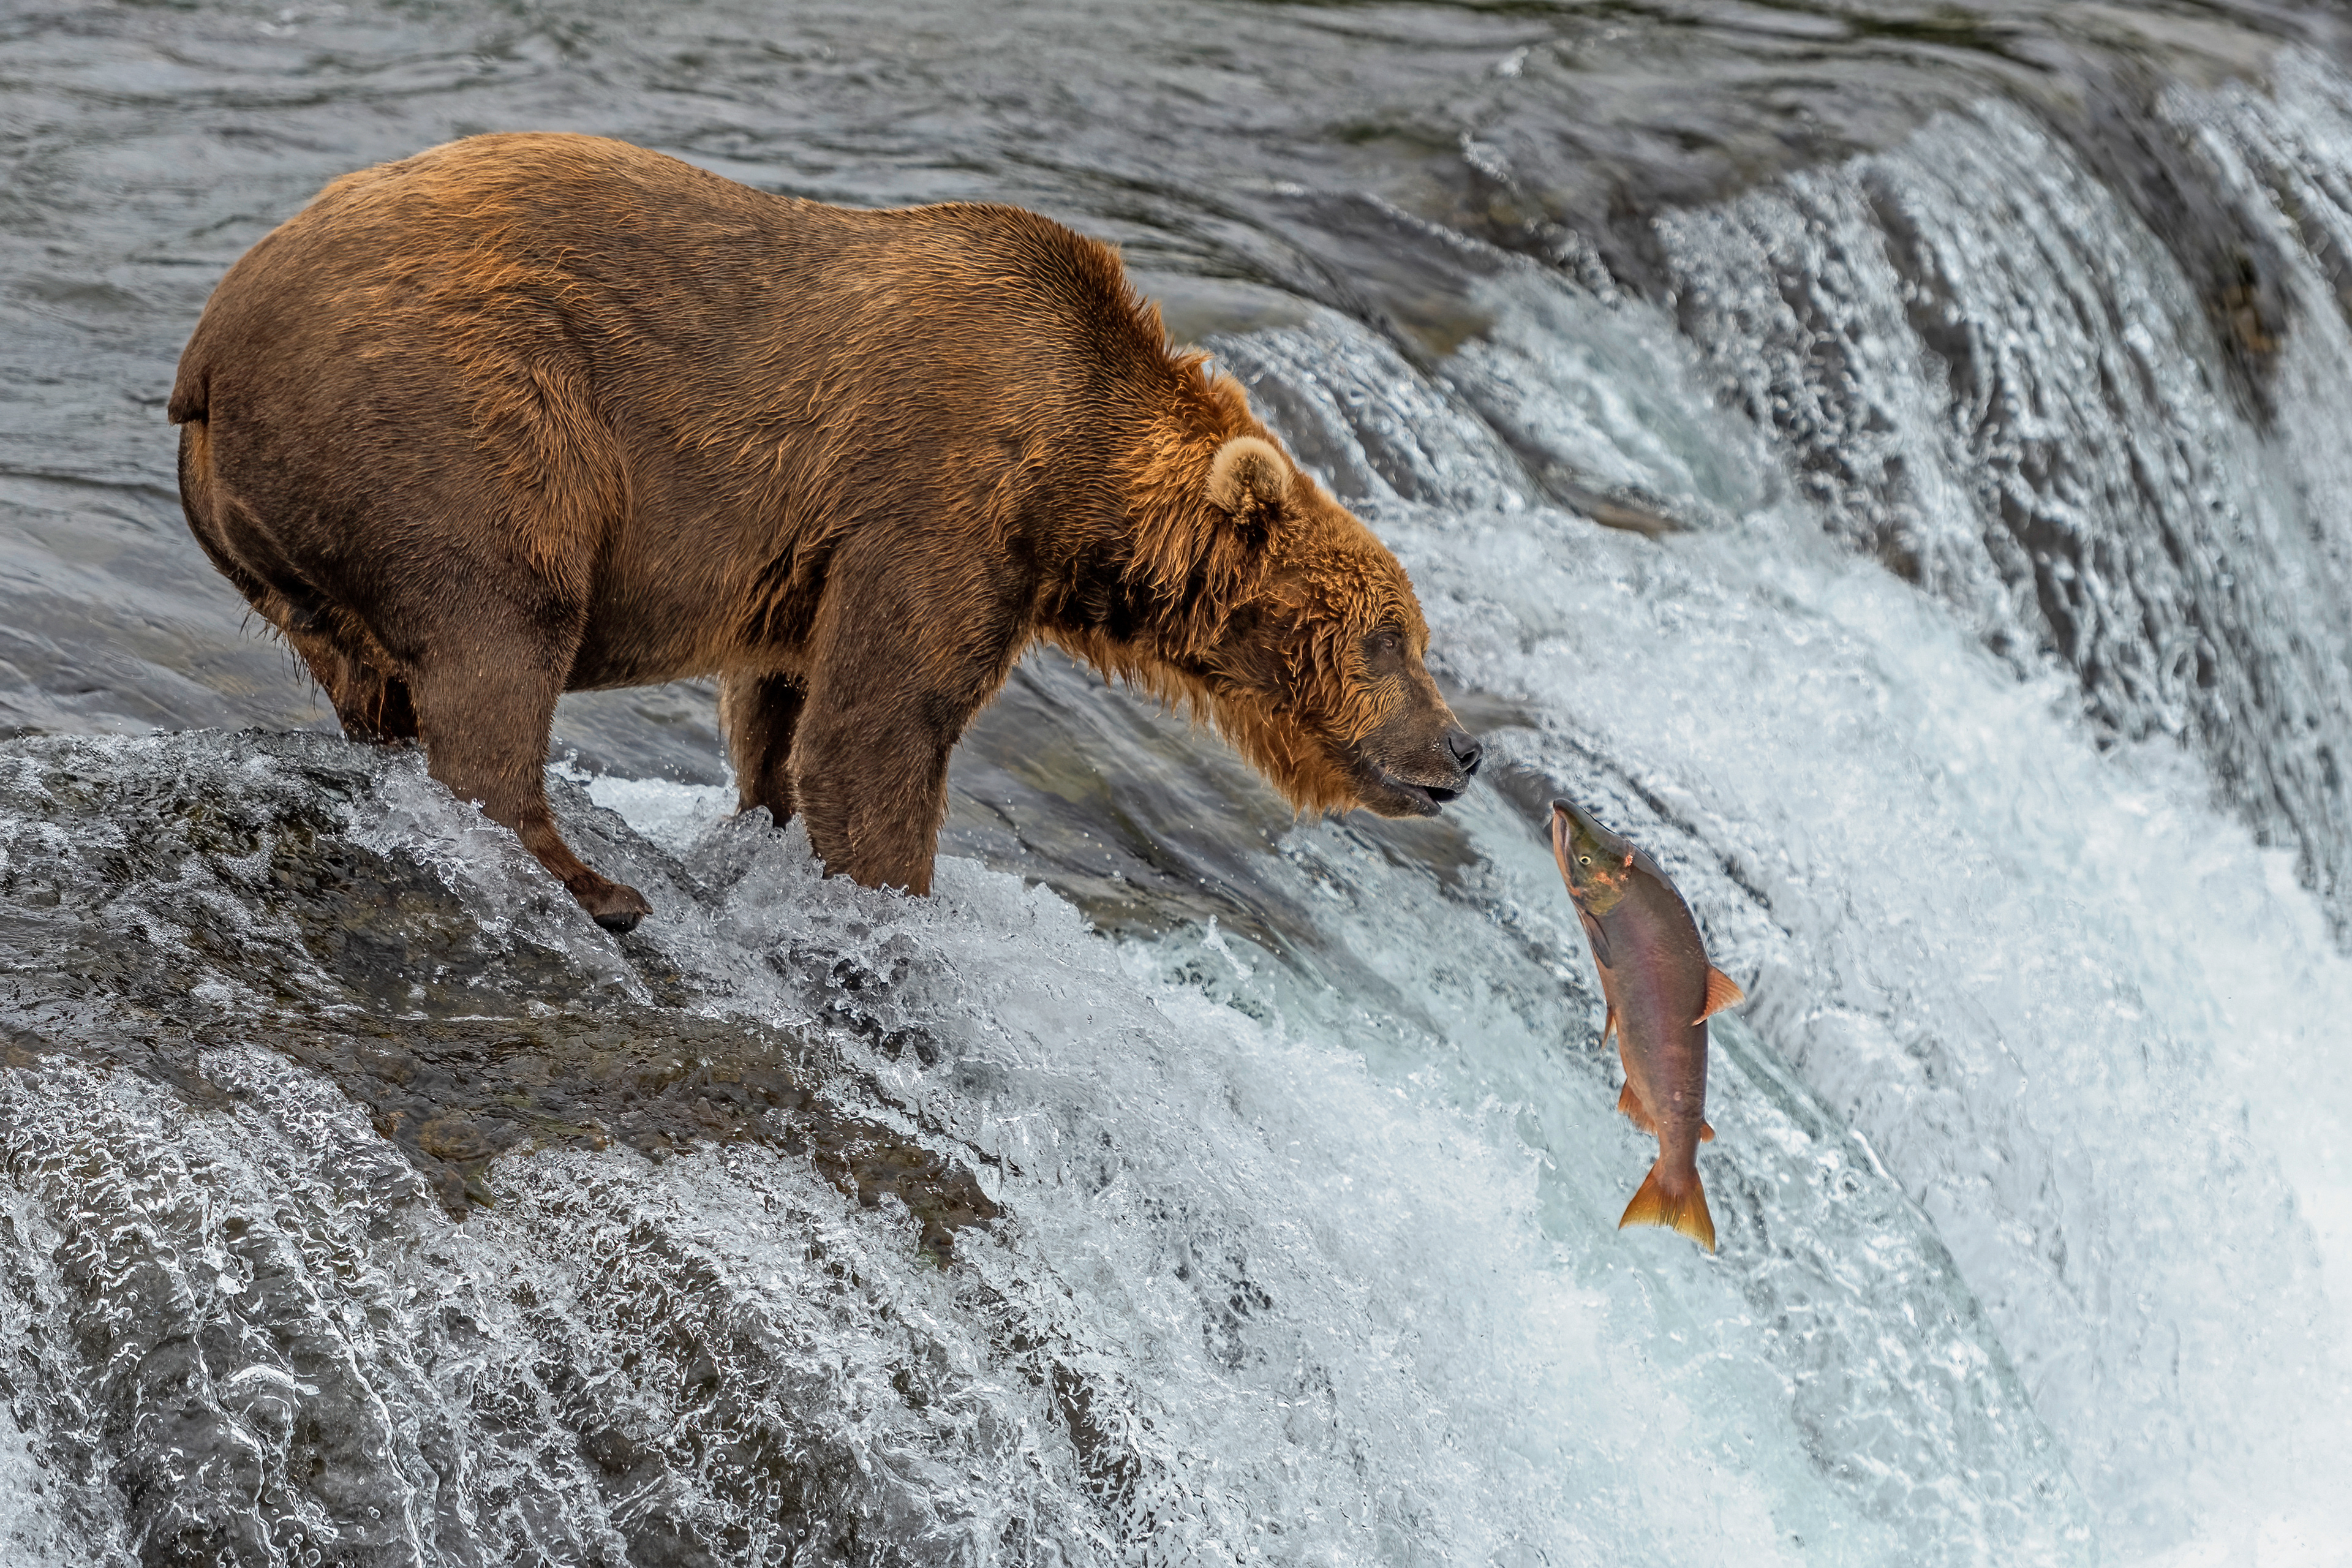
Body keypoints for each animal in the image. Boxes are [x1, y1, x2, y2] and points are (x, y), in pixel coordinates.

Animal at [169, 133, 1481, 931]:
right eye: (1389, 639)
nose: (1462, 750)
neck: (1076, 485)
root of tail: (208, 348)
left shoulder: (815, 564)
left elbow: (784, 710)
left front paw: (770, 827)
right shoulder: (937, 493)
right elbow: (883, 726)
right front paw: (891, 900)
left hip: (301, 526)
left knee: (373, 669)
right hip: (453, 414)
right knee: (504, 622)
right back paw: (597, 885)